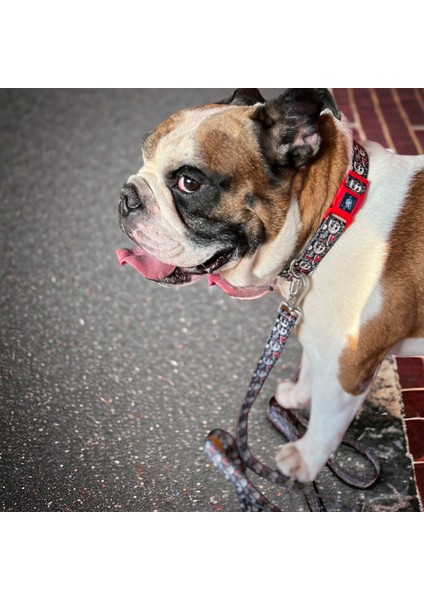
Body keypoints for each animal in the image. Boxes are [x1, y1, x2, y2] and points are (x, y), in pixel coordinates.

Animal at [117, 89, 424, 482]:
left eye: (189, 183)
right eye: (145, 156)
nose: (127, 195)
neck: (330, 225)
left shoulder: (350, 365)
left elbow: (327, 420)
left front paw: (304, 460)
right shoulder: (316, 336)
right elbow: (310, 365)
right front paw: (296, 396)